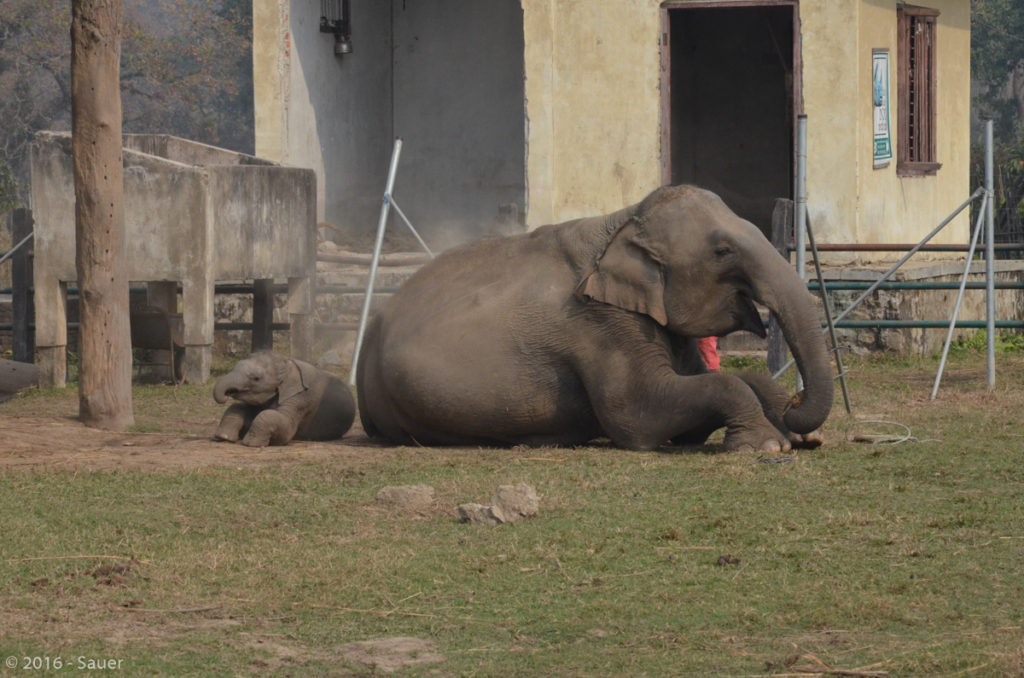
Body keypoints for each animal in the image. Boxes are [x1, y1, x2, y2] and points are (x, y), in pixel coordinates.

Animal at [213, 351, 355, 447]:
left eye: (256, 378)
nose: (226, 395)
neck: (288, 362)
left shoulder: (301, 399)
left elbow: (283, 425)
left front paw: (251, 444)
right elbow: (239, 408)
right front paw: (224, 437)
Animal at [356, 184, 833, 453]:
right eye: (722, 251)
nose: (796, 404)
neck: (621, 222)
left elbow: (722, 382)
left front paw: (800, 437)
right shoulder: (602, 324)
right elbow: (640, 416)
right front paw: (768, 445)